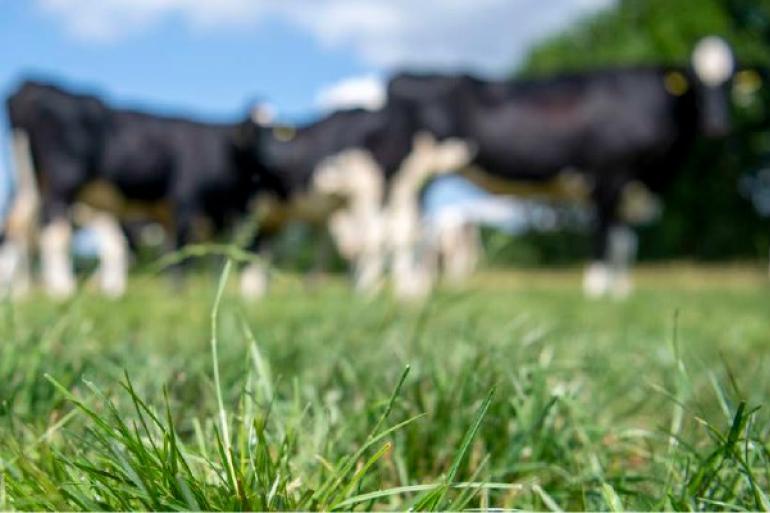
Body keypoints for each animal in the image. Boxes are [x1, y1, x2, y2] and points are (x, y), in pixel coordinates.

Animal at [1, 79, 271, 298]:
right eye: (258, 133)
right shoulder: (185, 199)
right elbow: (181, 248)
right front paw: (178, 293)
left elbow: (180, 251)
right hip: (63, 180)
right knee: (56, 232)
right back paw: (63, 290)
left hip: (31, 181)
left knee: (18, 227)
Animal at [385, 36, 737, 297]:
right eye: (695, 83)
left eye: (731, 82)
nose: (718, 125)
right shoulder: (609, 176)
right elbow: (603, 237)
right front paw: (597, 291)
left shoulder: (630, 188)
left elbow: (625, 244)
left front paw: (623, 293)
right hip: (408, 172)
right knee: (403, 226)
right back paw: (406, 293)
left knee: (417, 227)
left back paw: (417, 289)